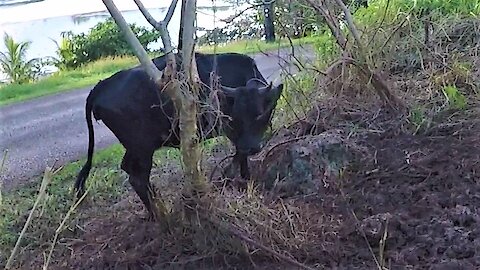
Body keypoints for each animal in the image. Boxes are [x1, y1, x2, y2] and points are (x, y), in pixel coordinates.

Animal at [74, 52, 282, 217]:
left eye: (261, 113)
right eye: (234, 116)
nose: (253, 146)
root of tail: (102, 85)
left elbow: (241, 154)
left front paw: (246, 177)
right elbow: (238, 154)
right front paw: (232, 176)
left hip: (136, 147)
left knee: (128, 168)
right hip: (142, 147)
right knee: (137, 177)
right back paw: (159, 214)